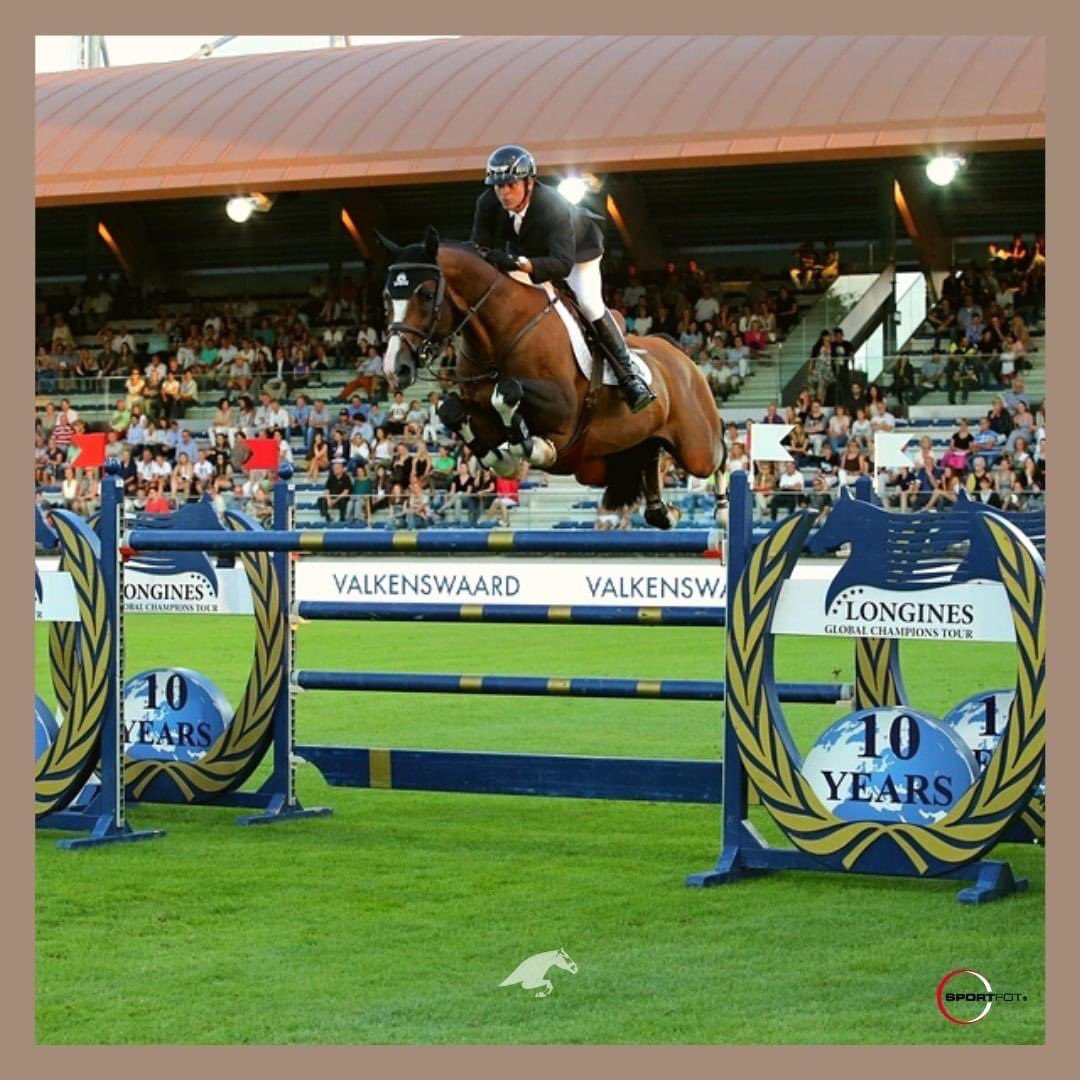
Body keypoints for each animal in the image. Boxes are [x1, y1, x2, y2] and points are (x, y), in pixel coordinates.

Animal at [378, 227, 724, 528]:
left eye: (425, 295)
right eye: (385, 296)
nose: (396, 368)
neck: (501, 332)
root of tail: (678, 353)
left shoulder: (563, 406)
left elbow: (506, 391)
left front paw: (532, 445)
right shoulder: (477, 407)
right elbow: (454, 412)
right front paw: (508, 456)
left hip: (696, 446)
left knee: (715, 455)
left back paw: (720, 510)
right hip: (601, 463)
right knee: (649, 455)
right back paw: (663, 512)